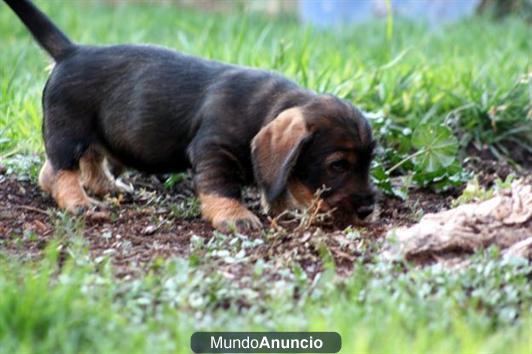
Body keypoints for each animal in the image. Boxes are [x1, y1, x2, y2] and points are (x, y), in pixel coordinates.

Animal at [6, 0, 376, 231]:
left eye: (369, 162)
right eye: (337, 165)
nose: (368, 210)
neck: (266, 107)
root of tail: (71, 52)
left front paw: (283, 207)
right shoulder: (213, 151)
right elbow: (221, 188)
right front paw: (235, 216)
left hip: (92, 135)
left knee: (87, 163)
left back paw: (109, 187)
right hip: (68, 133)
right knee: (58, 172)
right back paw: (80, 203)